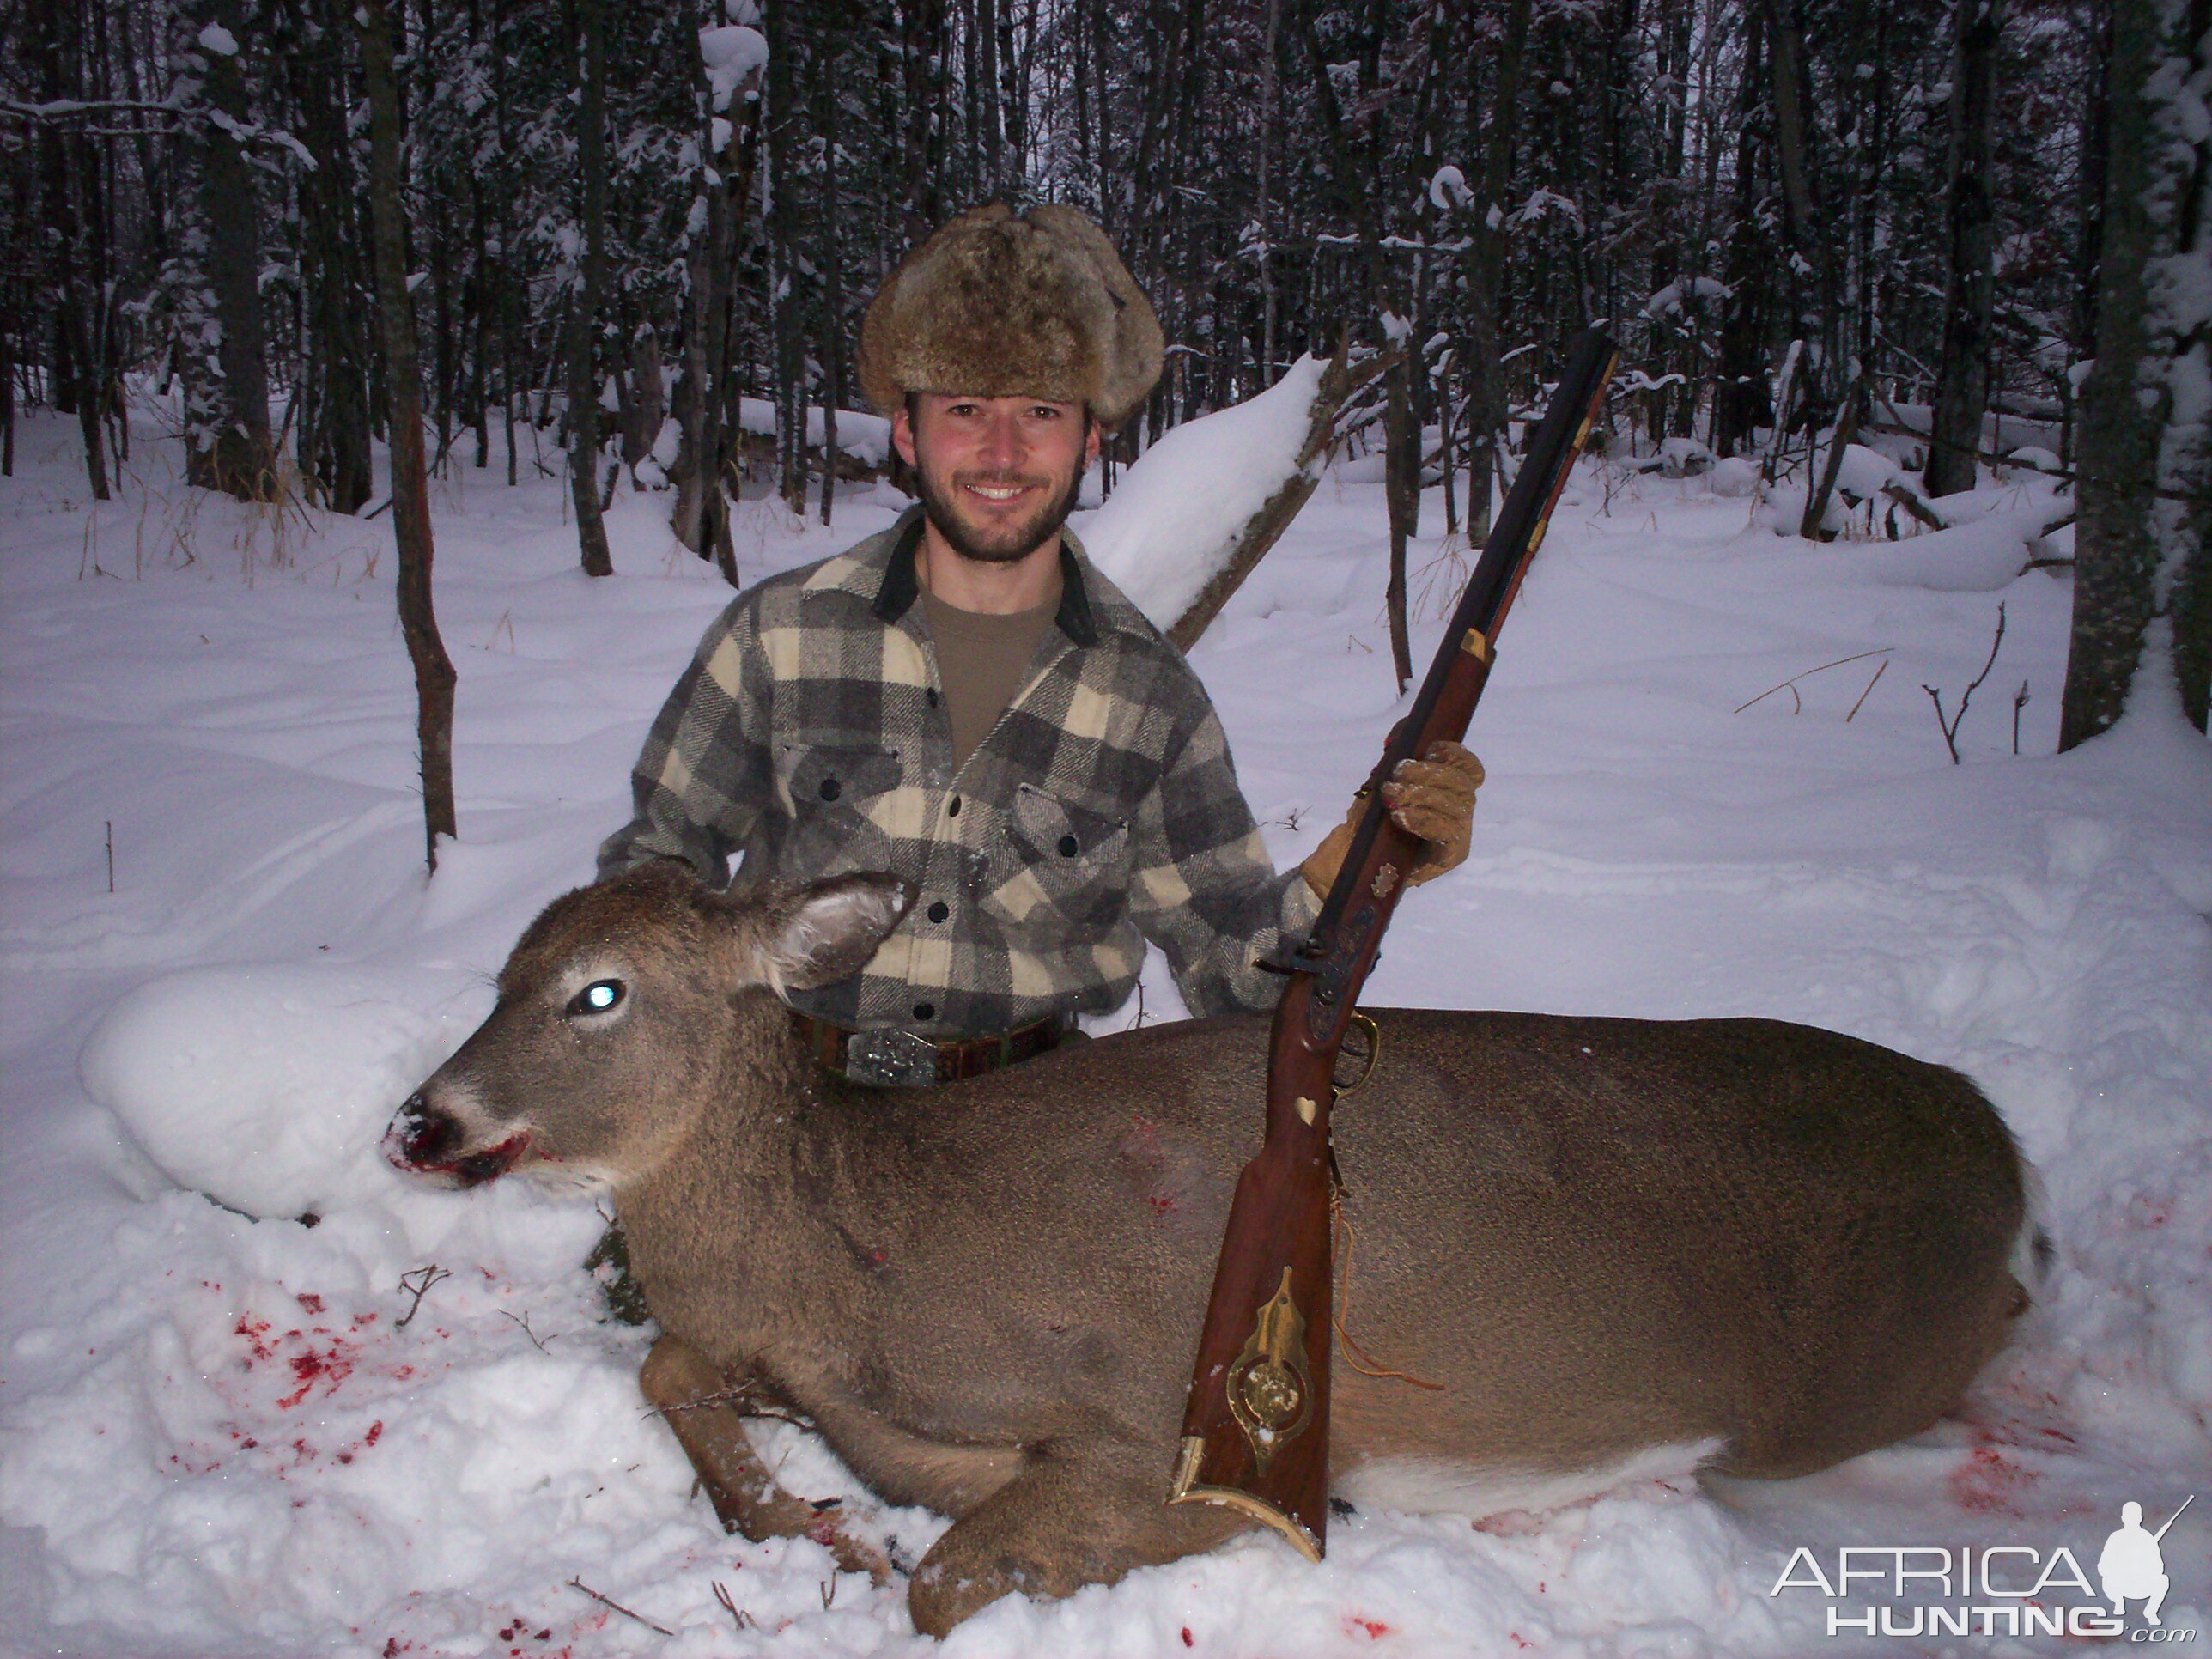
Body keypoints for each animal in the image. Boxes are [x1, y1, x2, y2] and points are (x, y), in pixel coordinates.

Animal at [385, 871, 2034, 1637]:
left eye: (599, 991)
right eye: (505, 971)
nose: (418, 1120)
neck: (863, 1274)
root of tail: (1999, 1137)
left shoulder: (1145, 1422)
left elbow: (947, 1584)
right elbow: (672, 1371)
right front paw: (814, 1523)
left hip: (1853, 1377)